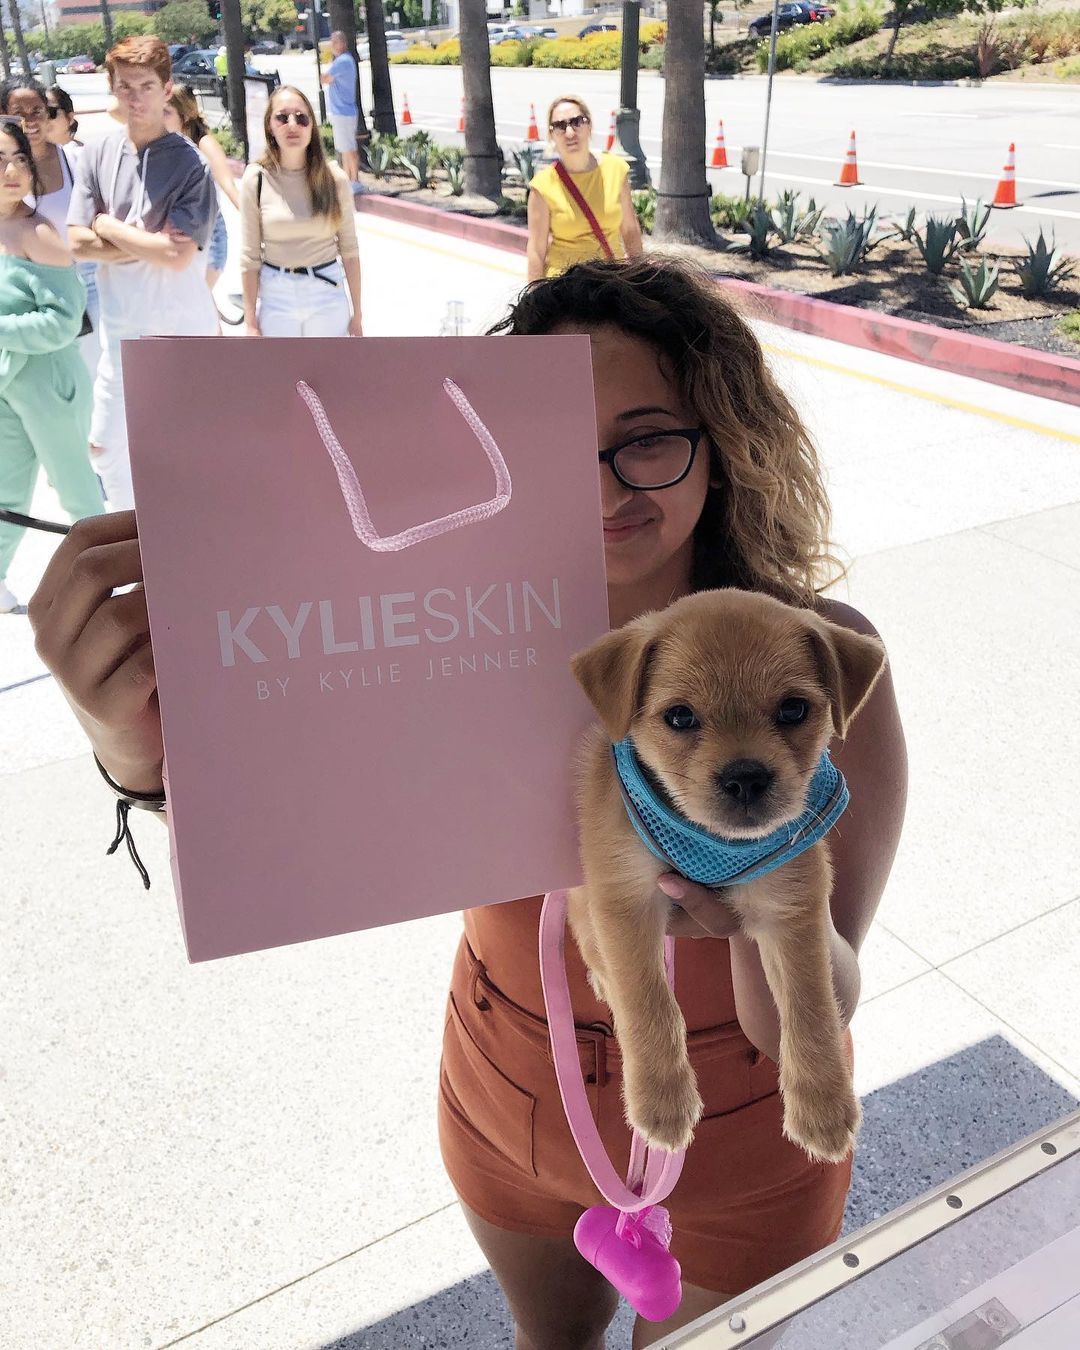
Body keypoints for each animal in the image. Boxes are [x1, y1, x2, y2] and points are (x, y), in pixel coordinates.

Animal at [568, 588, 887, 1163]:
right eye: (679, 717)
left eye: (793, 708)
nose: (745, 779)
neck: (712, 844)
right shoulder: (625, 898)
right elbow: (648, 1003)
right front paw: (661, 1101)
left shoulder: (792, 908)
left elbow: (811, 1007)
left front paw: (823, 1106)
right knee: (590, 942)